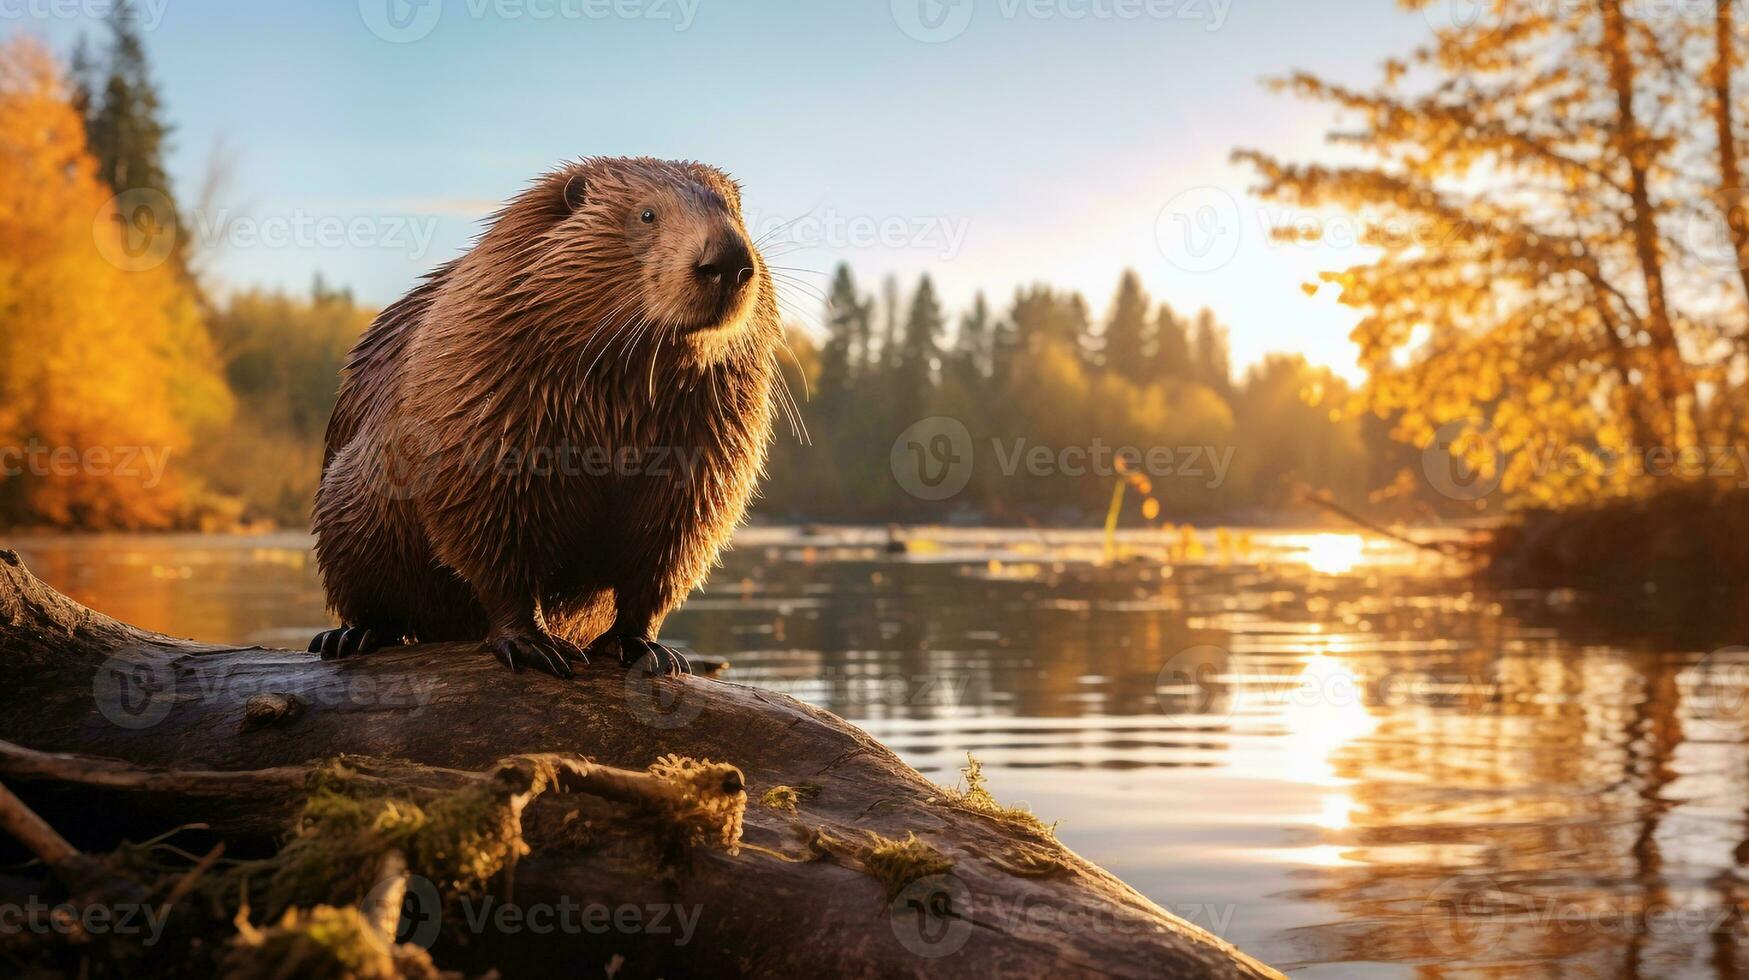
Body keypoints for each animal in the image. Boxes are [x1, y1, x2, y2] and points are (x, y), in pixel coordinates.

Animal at [307, 159, 780, 682]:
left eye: (736, 210)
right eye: (647, 213)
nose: (728, 262)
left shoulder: (707, 447)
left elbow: (669, 550)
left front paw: (649, 648)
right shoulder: (476, 392)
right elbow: (492, 535)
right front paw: (533, 644)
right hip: (348, 504)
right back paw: (348, 636)